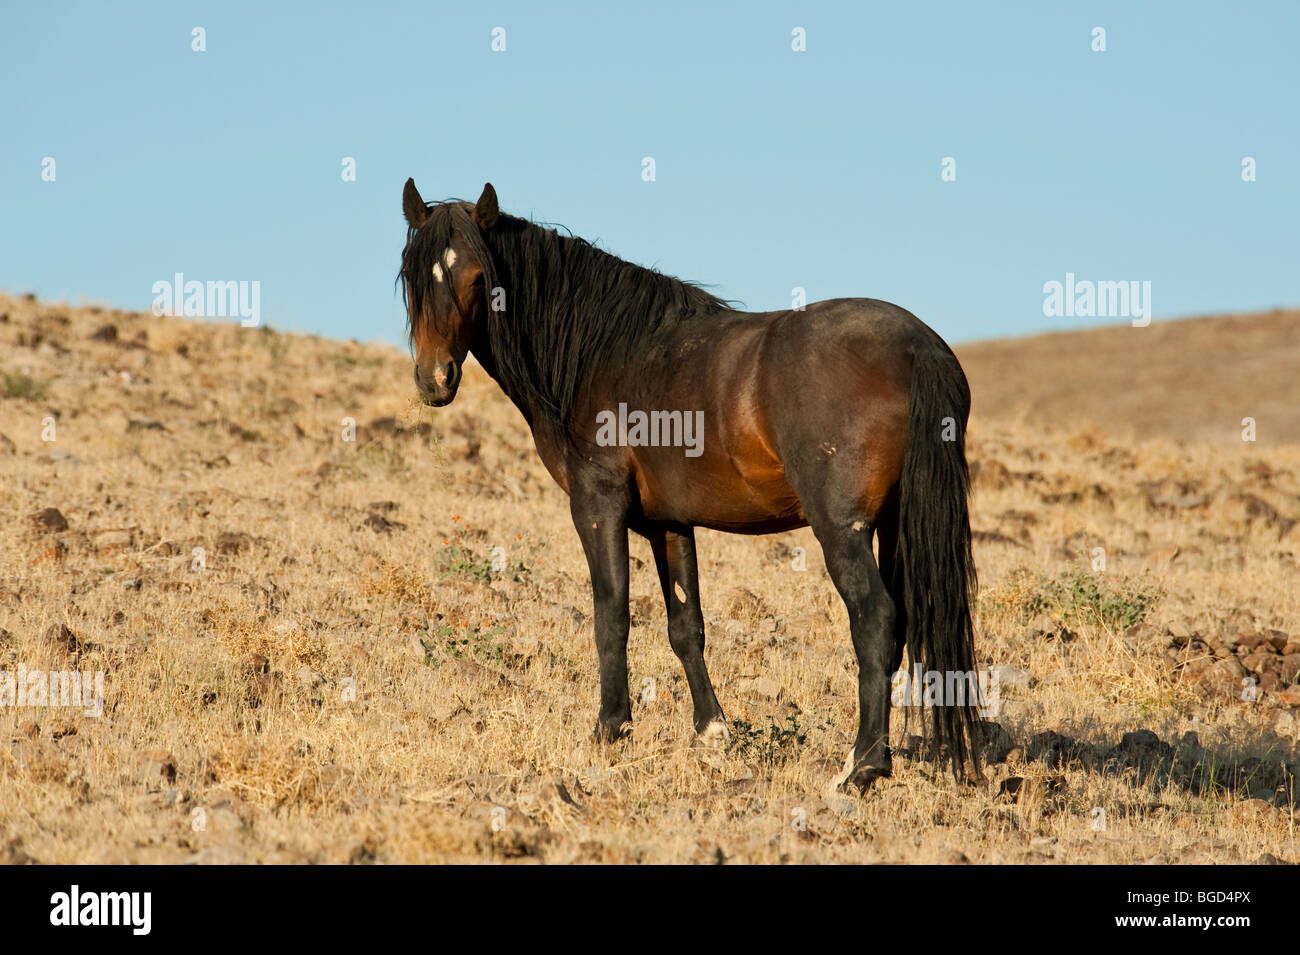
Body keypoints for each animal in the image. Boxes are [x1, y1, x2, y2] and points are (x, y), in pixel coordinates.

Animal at [398, 179, 982, 792]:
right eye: (411, 273)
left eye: (477, 277)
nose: (434, 380)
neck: (607, 352)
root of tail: (918, 347)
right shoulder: (669, 523)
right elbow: (686, 625)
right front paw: (712, 732)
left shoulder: (598, 507)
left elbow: (612, 616)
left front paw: (610, 728)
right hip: (896, 524)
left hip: (842, 527)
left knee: (876, 620)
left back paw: (862, 766)